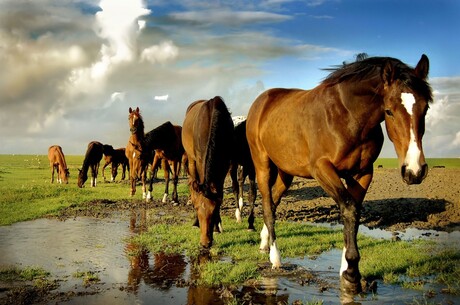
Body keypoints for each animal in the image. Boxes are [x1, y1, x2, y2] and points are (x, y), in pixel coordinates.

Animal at [182, 96, 235, 248]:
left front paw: (217, 226)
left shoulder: (224, 164)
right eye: (196, 209)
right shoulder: (200, 160)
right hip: (191, 159)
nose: (205, 243)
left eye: (214, 211)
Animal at [246, 54, 434, 292]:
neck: (347, 116)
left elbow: (354, 213)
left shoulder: (363, 173)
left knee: (274, 201)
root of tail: (262, 101)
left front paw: (346, 269)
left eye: (425, 109)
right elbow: (349, 209)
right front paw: (352, 272)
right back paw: (275, 258)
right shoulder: (322, 169)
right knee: (268, 206)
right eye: (389, 110)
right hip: (262, 165)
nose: (414, 171)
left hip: (285, 172)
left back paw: (264, 242)